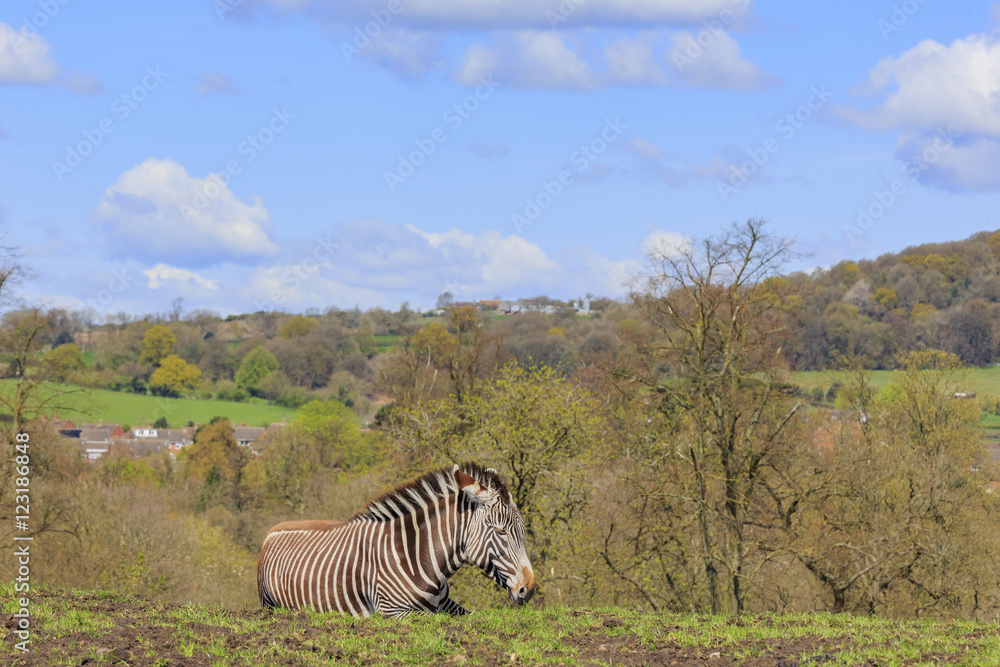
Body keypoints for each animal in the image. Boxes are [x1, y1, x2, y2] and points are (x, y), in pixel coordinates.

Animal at [257, 462, 536, 617]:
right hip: (270, 606)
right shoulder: (392, 611)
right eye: (501, 532)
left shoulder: (447, 605)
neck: (420, 557)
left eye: (523, 531)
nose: (529, 589)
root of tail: (273, 530)